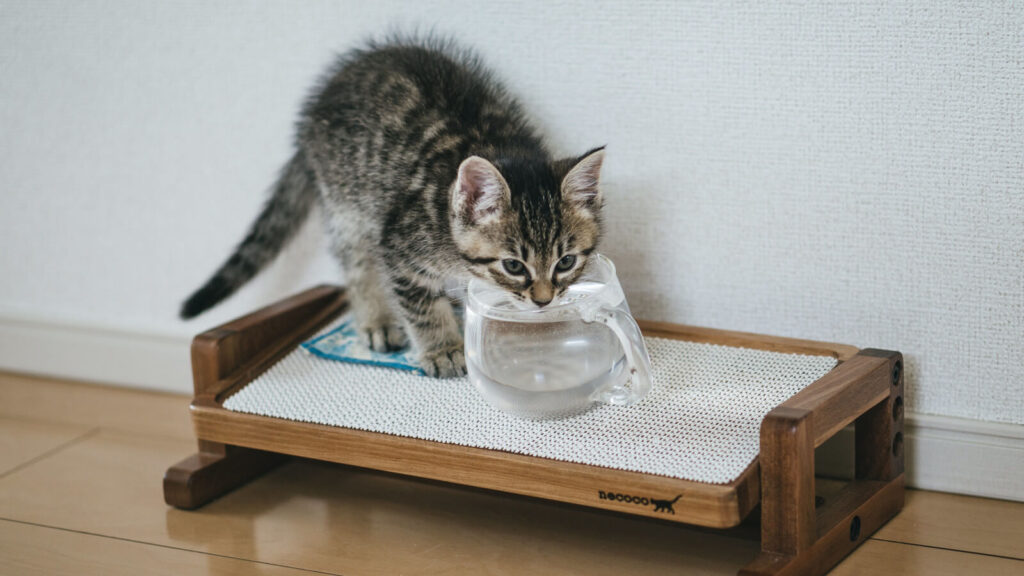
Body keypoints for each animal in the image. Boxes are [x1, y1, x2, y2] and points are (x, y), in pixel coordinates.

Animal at [180, 36, 602, 377]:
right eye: (514, 266)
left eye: (565, 262)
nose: (544, 300)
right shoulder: (401, 246)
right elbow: (420, 304)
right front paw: (443, 348)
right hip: (347, 203)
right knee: (356, 263)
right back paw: (376, 320)